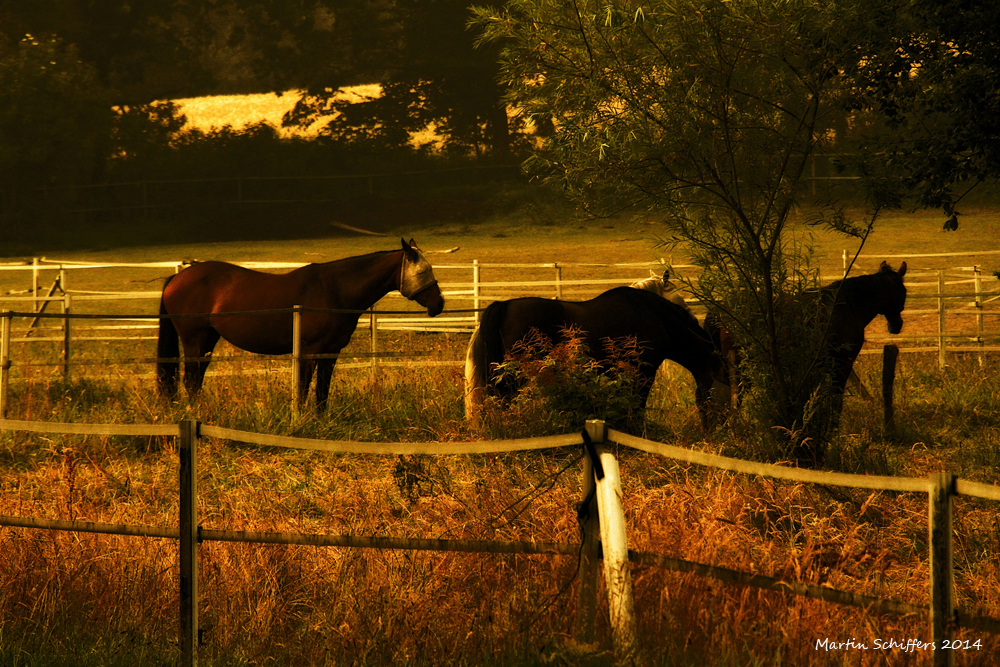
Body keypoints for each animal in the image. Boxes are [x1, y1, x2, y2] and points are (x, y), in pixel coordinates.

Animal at [157, 237, 446, 410]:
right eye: (423, 271)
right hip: (194, 340)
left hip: (207, 339)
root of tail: (176, 279)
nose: (439, 303)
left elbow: (322, 391)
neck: (334, 290)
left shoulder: (330, 353)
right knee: (190, 380)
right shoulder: (308, 351)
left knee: (196, 379)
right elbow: (305, 388)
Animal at [460, 288, 728, 428]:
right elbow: (637, 405)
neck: (657, 317)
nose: (715, 427)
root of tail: (504, 306)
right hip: (511, 379)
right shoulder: (643, 372)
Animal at [704, 262, 908, 422]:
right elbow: (836, 400)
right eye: (904, 291)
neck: (848, 305)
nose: (897, 325)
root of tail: (721, 311)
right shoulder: (842, 364)